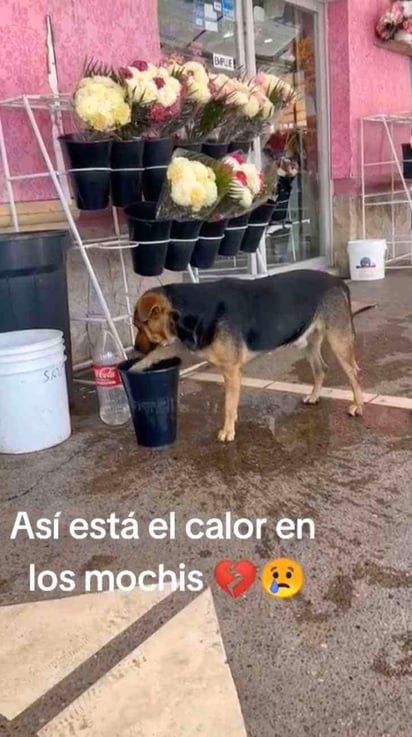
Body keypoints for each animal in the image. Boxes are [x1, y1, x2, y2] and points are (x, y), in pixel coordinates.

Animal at [132, 270, 364, 442]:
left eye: (139, 326)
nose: (135, 348)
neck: (189, 311)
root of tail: (338, 281)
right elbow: (161, 351)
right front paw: (136, 367)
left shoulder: (232, 372)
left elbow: (228, 405)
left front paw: (227, 431)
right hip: (309, 341)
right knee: (320, 368)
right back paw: (315, 396)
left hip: (339, 341)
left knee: (354, 373)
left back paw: (358, 406)